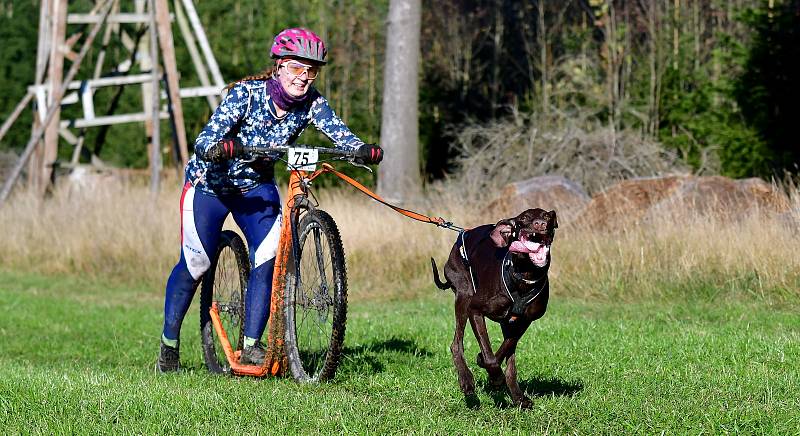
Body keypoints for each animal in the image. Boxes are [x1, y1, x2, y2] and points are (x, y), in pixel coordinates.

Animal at [432, 208, 556, 408]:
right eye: (523, 219)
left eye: (547, 216)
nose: (539, 224)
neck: (525, 275)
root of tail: (464, 233)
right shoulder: (475, 310)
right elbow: (490, 354)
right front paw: (495, 377)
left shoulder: (523, 321)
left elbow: (504, 350)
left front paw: (487, 367)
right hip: (463, 295)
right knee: (456, 344)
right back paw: (466, 381)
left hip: (507, 322)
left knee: (510, 360)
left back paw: (518, 397)